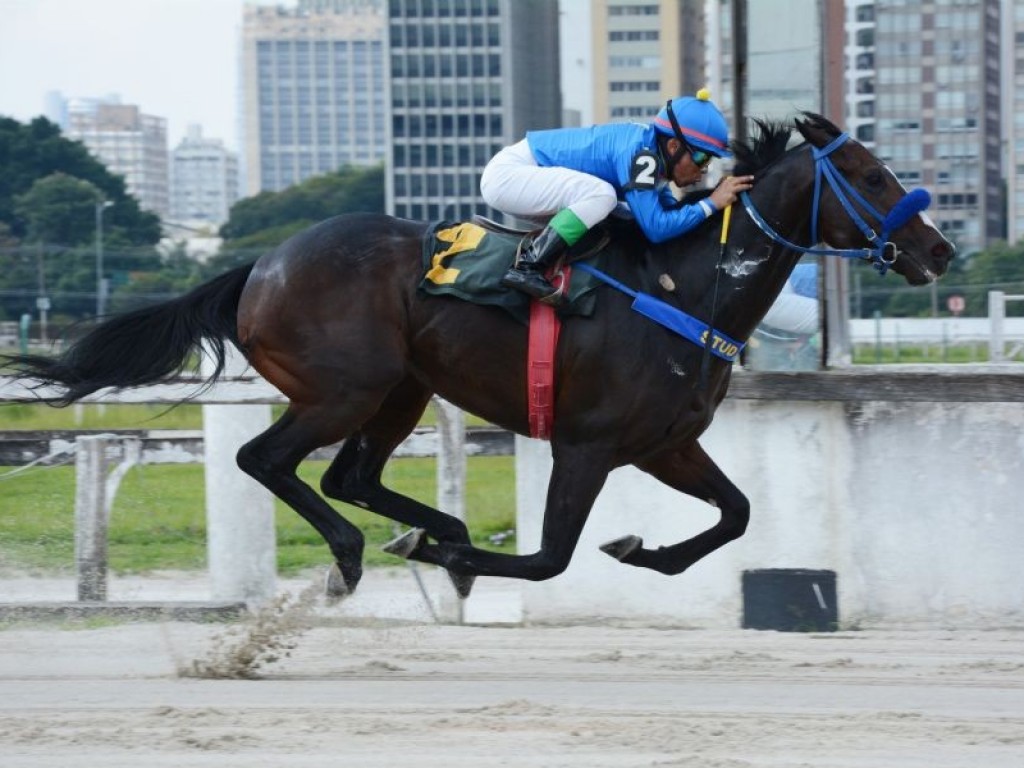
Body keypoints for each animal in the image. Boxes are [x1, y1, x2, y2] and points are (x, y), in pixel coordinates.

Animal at [4, 114, 954, 598]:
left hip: (402, 390)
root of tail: (261, 265)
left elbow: (737, 515)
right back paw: (363, 551)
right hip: (343, 389)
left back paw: (428, 529)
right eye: (870, 176)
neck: (688, 285)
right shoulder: (587, 443)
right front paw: (458, 561)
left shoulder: (665, 443)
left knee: (348, 473)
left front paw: (643, 553)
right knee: (266, 459)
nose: (940, 251)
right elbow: (549, 557)